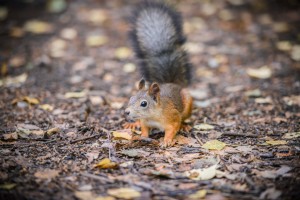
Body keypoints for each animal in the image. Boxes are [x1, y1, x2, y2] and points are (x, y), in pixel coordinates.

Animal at [123, 0, 192, 147]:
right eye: (131, 98)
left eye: (144, 104)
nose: (127, 112)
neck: (152, 116)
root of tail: (171, 83)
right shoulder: (145, 122)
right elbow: (144, 129)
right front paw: (142, 136)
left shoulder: (172, 118)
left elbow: (173, 129)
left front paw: (166, 141)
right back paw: (133, 124)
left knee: (184, 118)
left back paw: (185, 125)